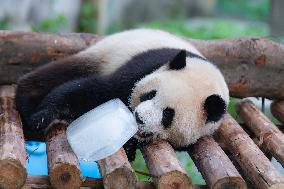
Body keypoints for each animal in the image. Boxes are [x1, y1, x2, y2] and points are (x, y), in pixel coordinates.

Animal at [15, 28, 230, 161]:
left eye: (168, 114)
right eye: (150, 95)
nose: (139, 117)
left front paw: (129, 146)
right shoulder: (144, 66)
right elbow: (97, 90)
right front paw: (43, 116)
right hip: (103, 54)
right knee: (59, 74)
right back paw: (26, 98)